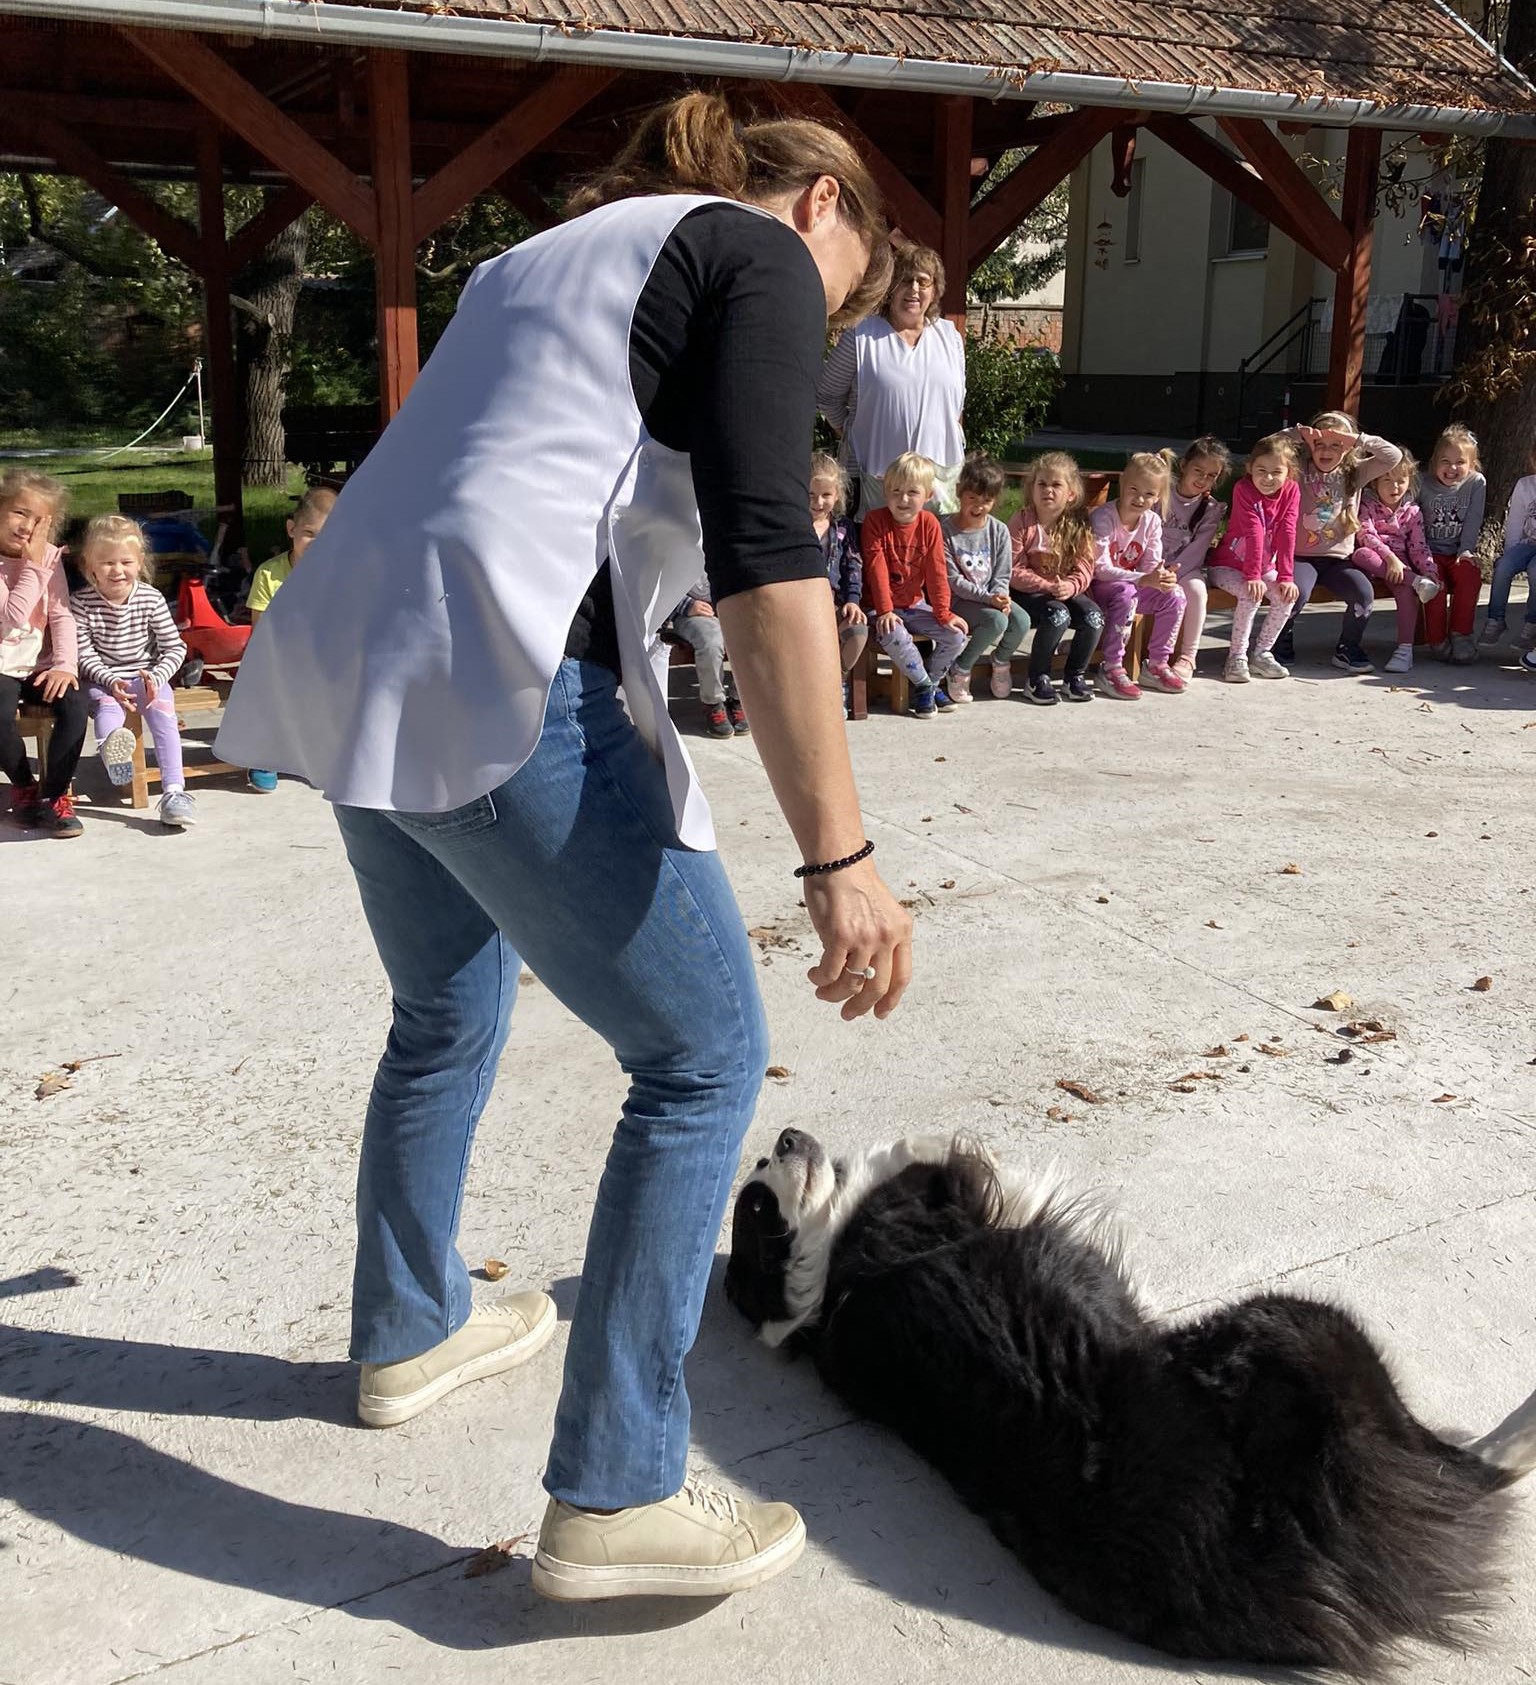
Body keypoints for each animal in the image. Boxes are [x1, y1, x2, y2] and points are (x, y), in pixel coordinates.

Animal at [726, 1129, 1536, 1676]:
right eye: (759, 1200)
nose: (785, 1135)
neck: (825, 1289)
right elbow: (918, 1158)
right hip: (1299, 1328)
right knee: (1463, 1468)